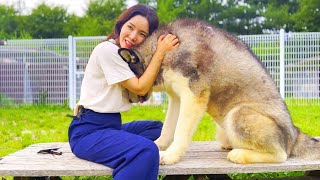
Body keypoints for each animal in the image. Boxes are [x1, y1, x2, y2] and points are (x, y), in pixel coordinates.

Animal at [118, 18, 320, 165]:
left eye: (126, 84)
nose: (130, 100)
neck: (159, 51)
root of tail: (295, 134)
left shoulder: (193, 95)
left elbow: (181, 131)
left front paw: (171, 155)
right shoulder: (176, 98)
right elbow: (168, 128)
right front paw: (158, 146)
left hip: (237, 114)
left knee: (281, 155)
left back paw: (239, 155)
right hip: (223, 129)